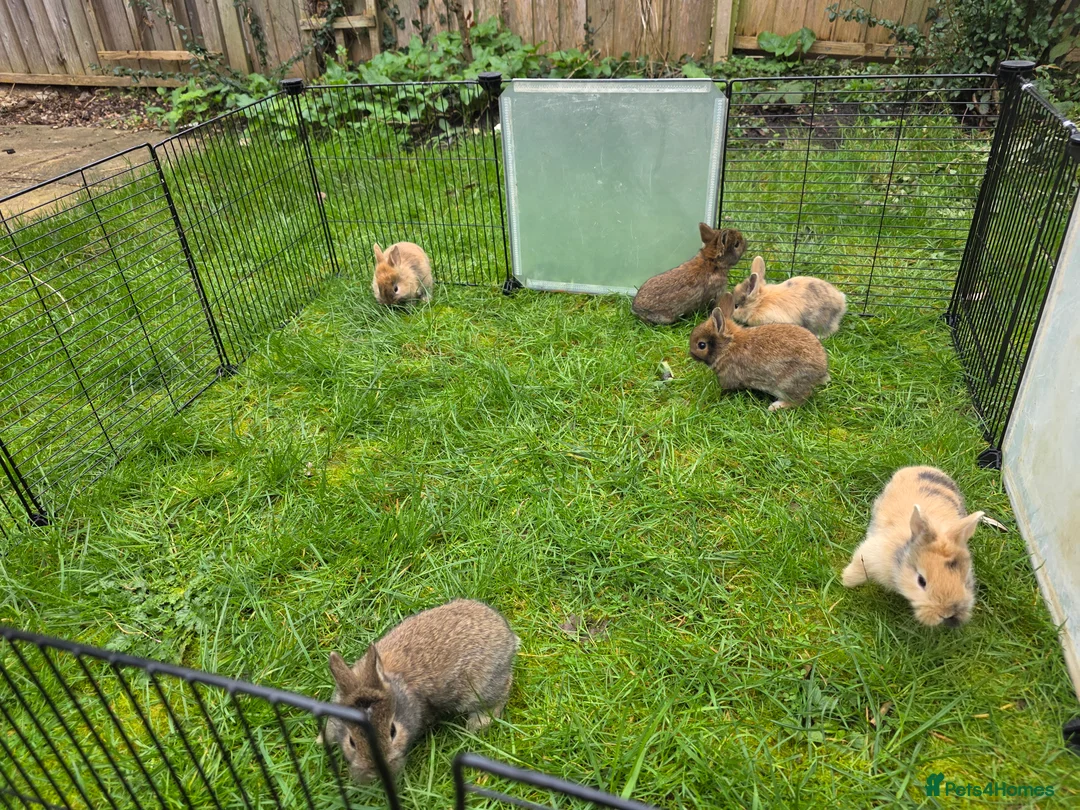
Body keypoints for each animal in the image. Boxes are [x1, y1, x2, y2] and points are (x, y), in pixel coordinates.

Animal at [319, 599, 518, 784]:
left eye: (393, 732)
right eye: (351, 742)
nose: (376, 772)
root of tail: (508, 635)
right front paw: (321, 740)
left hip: (480, 688)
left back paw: (476, 725)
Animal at [688, 292, 829, 411]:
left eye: (701, 345)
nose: (691, 354)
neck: (727, 346)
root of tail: (821, 370)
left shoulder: (728, 378)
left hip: (788, 384)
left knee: (799, 399)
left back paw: (775, 406)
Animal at [842, 466, 985, 627]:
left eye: (965, 582)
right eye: (921, 581)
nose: (946, 614)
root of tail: (920, 467)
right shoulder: (870, 554)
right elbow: (858, 568)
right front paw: (846, 582)